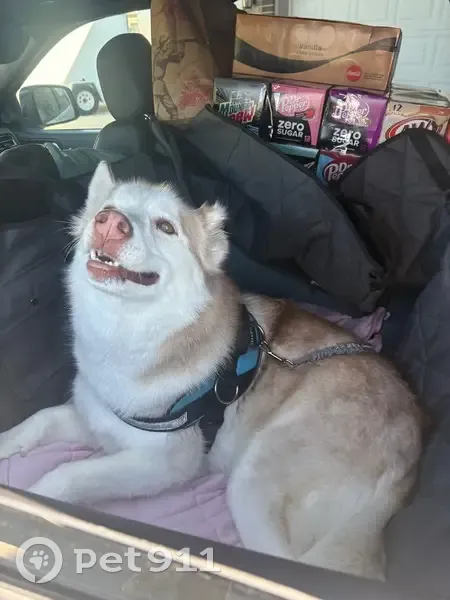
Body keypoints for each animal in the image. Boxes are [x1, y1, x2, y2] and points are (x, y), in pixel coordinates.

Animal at [0, 162, 422, 580]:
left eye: (166, 226)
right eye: (108, 208)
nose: (109, 223)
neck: (125, 331)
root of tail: (414, 445)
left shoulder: (165, 462)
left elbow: (66, 475)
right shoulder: (98, 421)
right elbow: (37, 422)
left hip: (254, 482)